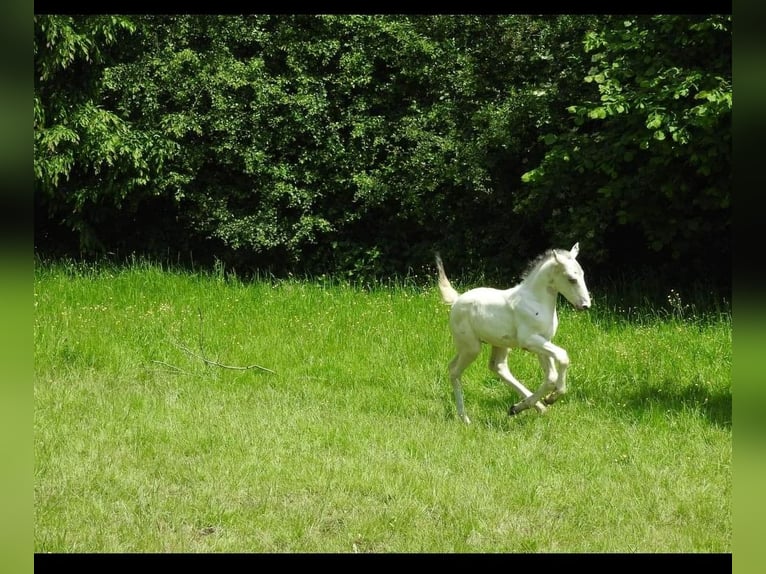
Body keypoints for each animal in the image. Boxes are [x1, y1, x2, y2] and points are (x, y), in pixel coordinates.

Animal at [438, 245, 592, 426]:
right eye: (571, 279)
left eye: (582, 274)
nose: (585, 305)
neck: (535, 301)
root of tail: (456, 300)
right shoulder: (530, 340)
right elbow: (562, 356)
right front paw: (552, 397)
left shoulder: (543, 341)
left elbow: (551, 377)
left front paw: (545, 400)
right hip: (471, 347)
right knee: (455, 371)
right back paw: (465, 418)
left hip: (495, 344)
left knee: (496, 367)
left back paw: (527, 408)